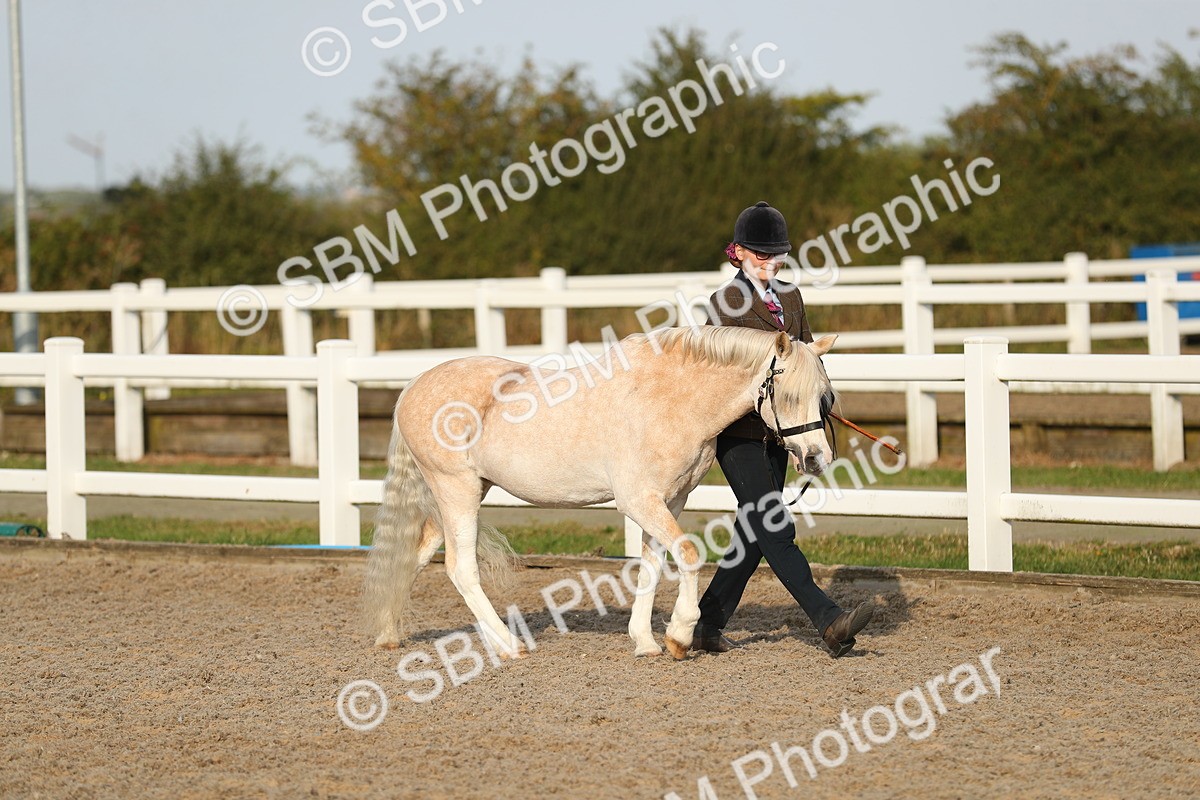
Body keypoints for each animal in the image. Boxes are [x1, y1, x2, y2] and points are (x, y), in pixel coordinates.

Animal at [362, 325, 838, 659]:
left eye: (824, 396)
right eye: (788, 395)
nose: (818, 458)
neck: (670, 400)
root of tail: (413, 386)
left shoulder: (670, 501)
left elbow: (651, 565)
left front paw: (645, 642)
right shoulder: (639, 501)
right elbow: (687, 554)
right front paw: (679, 635)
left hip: (463, 495)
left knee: (416, 553)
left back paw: (388, 633)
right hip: (455, 490)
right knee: (460, 569)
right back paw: (508, 645)